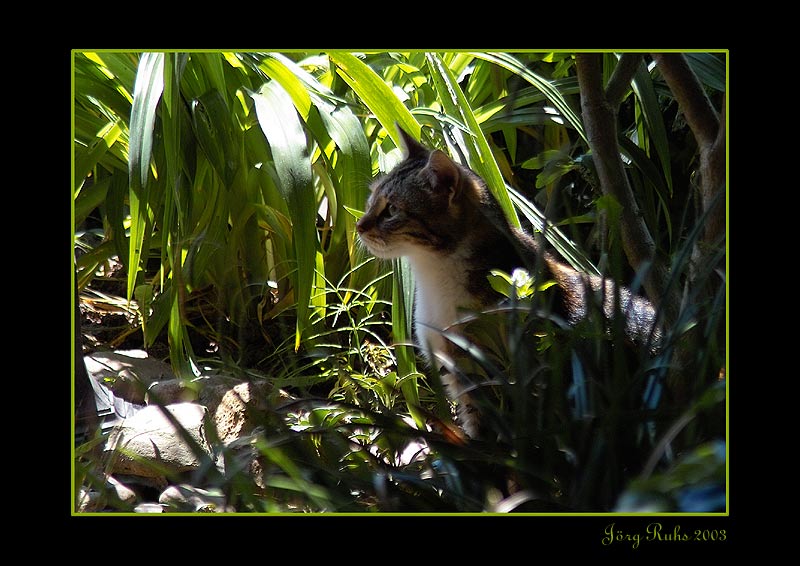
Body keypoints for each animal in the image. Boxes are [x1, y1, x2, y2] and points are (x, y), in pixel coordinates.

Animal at [356, 129, 664, 440]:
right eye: (371, 199)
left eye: (392, 210)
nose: (359, 225)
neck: (433, 275)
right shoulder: (457, 372)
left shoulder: (491, 375)